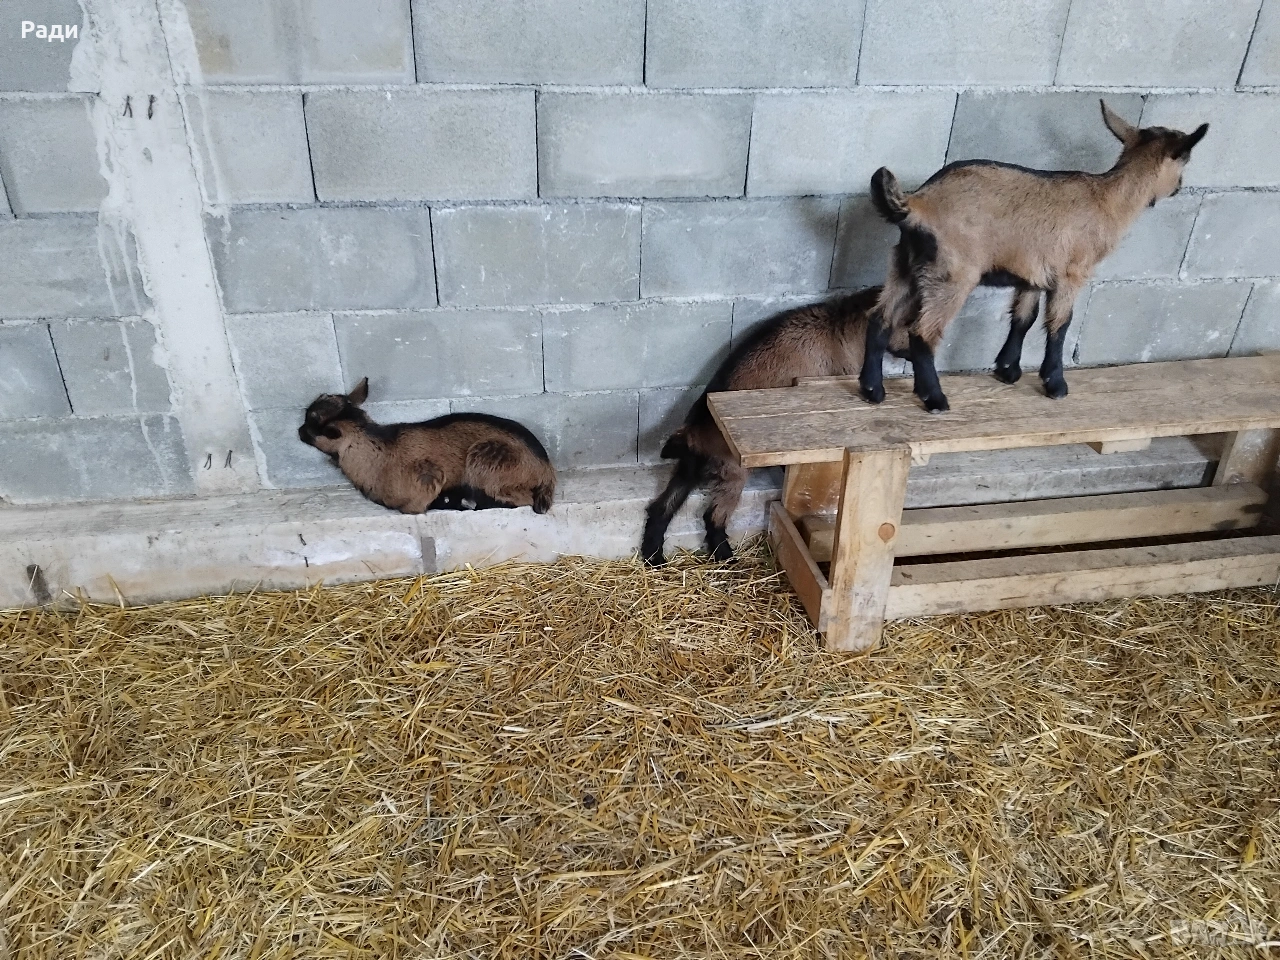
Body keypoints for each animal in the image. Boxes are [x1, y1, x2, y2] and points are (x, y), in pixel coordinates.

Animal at [298, 378, 556, 514]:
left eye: (311, 423)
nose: (299, 432)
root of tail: (545, 469)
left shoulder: (426, 480)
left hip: (486, 462)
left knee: (522, 499)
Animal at [642, 288, 879, 565]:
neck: (839, 322)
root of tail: (693, 433)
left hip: (688, 469)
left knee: (662, 507)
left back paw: (654, 556)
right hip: (732, 472)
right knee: (713, 516)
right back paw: (726, 558)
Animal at [859, 100, 1209, 413]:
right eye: (1185, 158)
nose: (1179, 186)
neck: (1107, 199)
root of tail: (916, 204)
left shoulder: (1032, 273)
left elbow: (1024, 317)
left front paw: (1007, 370)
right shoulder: (1072, 273)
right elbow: (1060, 323)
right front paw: (1055, 383)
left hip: (905, 266)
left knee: (879, 318)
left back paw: (872, 390)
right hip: (951, 275)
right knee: (922, 333)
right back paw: (934, 399)